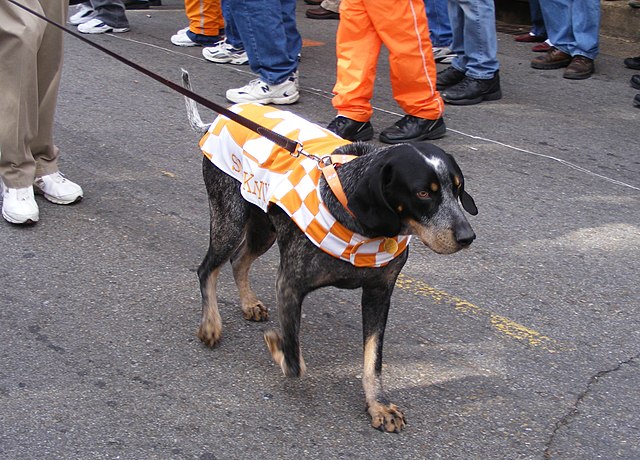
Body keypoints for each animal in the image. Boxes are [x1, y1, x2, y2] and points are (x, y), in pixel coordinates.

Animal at [180, 73, 476, 434]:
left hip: (264, 228)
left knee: (239, 260)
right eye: (422, 193)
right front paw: (278, 348)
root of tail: (217, 120)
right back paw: (211, 324)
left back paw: (248, 303)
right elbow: (295, 360)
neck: (363, 227)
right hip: (230, 221)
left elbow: (373, 360)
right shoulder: (289, 285)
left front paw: (378, 405)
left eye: (457, 188)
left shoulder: (379, 294)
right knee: (208, 268)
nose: (467, 236)